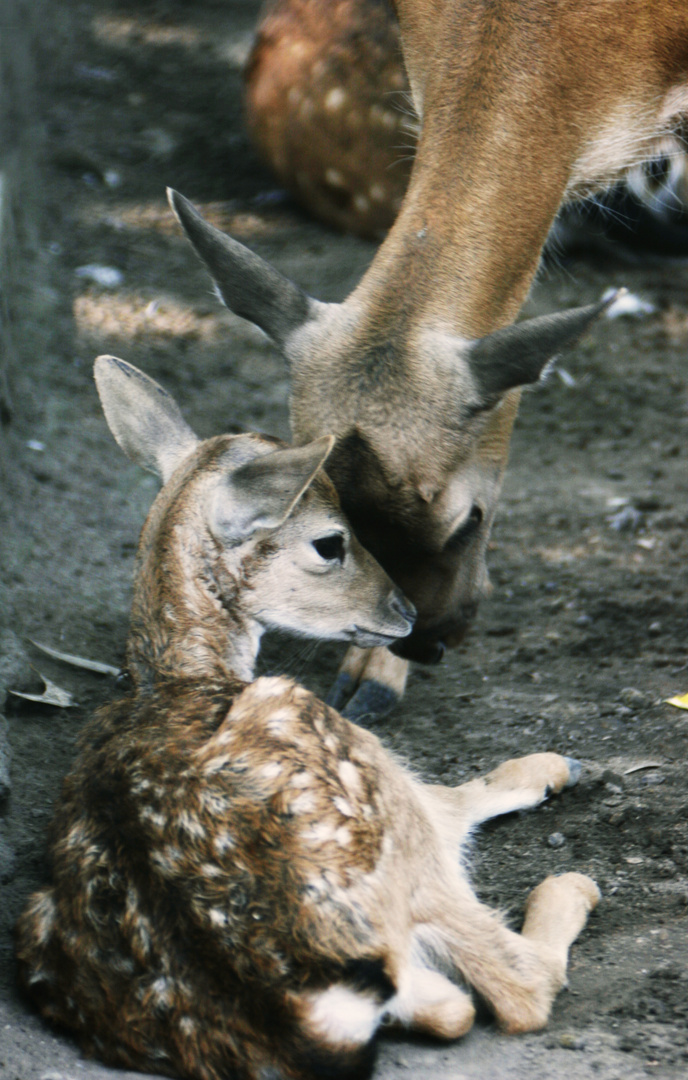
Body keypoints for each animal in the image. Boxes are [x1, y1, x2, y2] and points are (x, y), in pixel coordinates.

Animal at [14, 356, 596, 1080]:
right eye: (330, 542)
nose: (404, 611)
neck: (186, 674)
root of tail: (300, 1010)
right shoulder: (381, 771)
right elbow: (457, 795)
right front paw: (554, 766)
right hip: (368, 804)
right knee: (516, 986)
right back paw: (571, 882)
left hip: (36, 926)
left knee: (447, 1005)